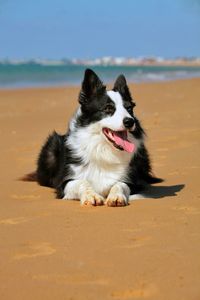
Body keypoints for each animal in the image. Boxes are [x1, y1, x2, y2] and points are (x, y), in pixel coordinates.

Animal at [24, 68, 162, 206]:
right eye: (108, 108)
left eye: (129, 108)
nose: (130, 121)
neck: (102, 149)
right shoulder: (64, 182)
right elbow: (81, 182)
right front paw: (91, 195)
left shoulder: (132, 182)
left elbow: (120, 184)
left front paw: (116, 196)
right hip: (52, 145)